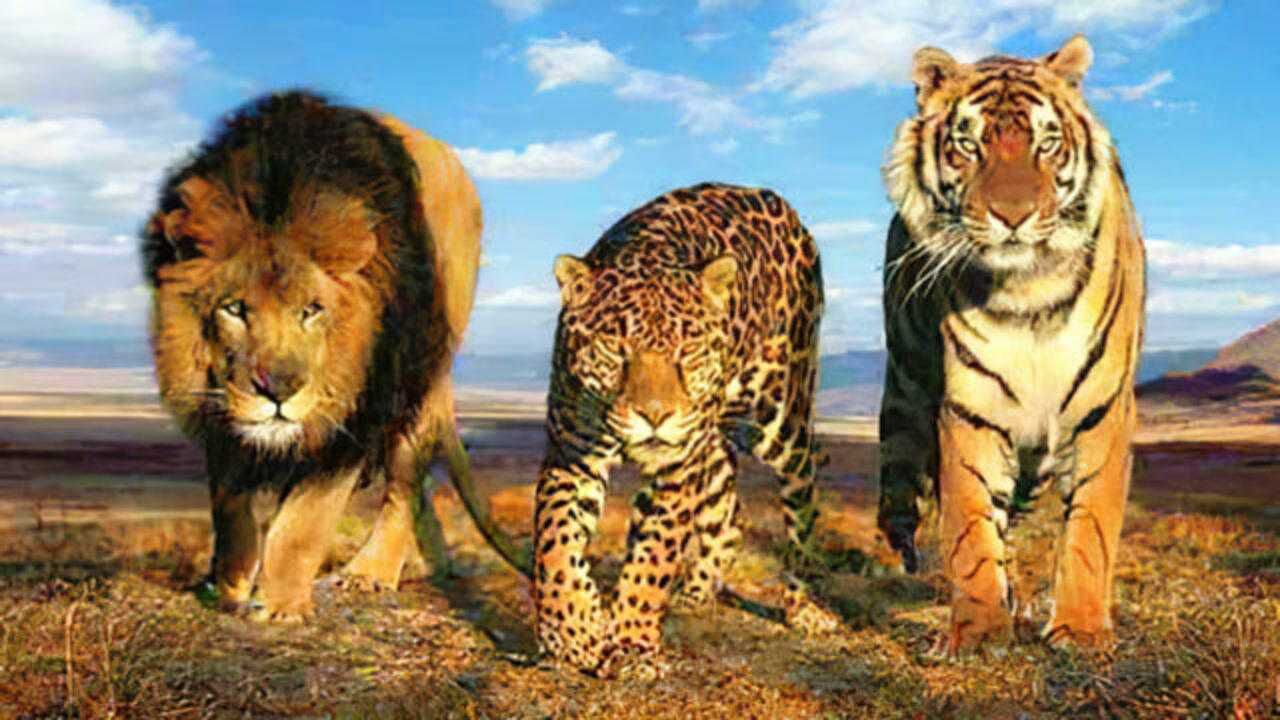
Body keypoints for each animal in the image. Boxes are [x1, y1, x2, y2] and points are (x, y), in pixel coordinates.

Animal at [532, 183, 825, 676]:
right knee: (729, 513)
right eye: (615, 348)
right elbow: (554, 542)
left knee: (803, 492)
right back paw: (695, 591)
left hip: (780, 415)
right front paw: (573, 631)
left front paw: (632, 643)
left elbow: (655, 555)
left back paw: (804, 604)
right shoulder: (571, 454)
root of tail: (778, 201)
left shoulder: (678, 467)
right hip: (713, 441)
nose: (656, 416)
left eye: (687, 349)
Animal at [876, 35, 1146, 652]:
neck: (1029, 291)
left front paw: (1081, 628)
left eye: (1046, 144)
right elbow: (970, 529)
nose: (1013, 215)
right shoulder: (971, 410)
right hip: (905, 389)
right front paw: (977, 630)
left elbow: (1091, 528)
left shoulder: (1102, 410)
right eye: (968, 145)